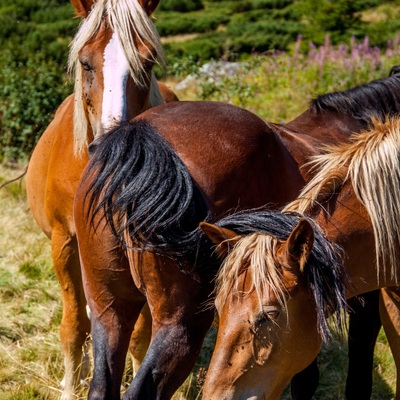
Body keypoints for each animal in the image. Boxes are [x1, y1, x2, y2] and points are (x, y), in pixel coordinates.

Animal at [23, 1, 177, 398]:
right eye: (86, 62)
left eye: (148, 63)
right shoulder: (64, 243)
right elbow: (74, 324)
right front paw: (69, 385)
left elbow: (139, 335)